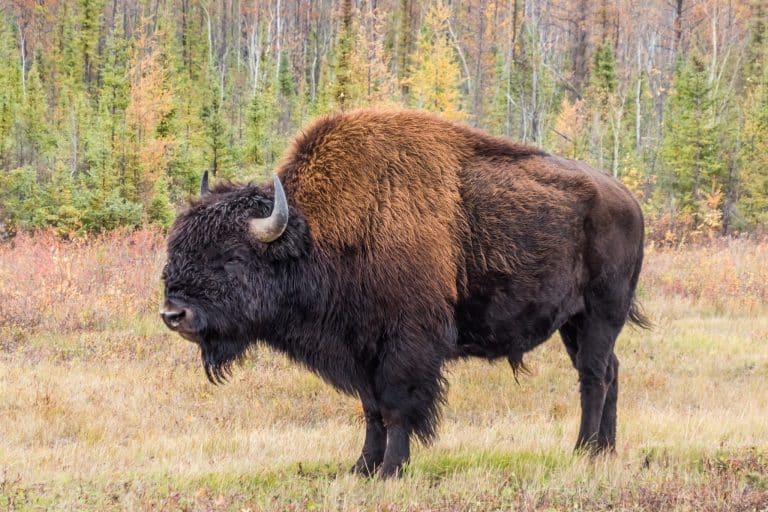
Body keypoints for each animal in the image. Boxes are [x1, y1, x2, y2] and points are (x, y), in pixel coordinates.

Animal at [161, 109, 648, 478]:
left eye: (231, 257)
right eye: (177, 247)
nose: (173, 315)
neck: (317, 235)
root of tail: (627, 198)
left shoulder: (405, 347)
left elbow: (397, 408)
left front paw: (392, 469)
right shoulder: (361, 351)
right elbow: (372, 410)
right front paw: (361, 468)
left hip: (602, 313)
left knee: (594, 375)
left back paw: (583, 451)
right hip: (573, 323)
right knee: (610, 371)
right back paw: (605, 450)